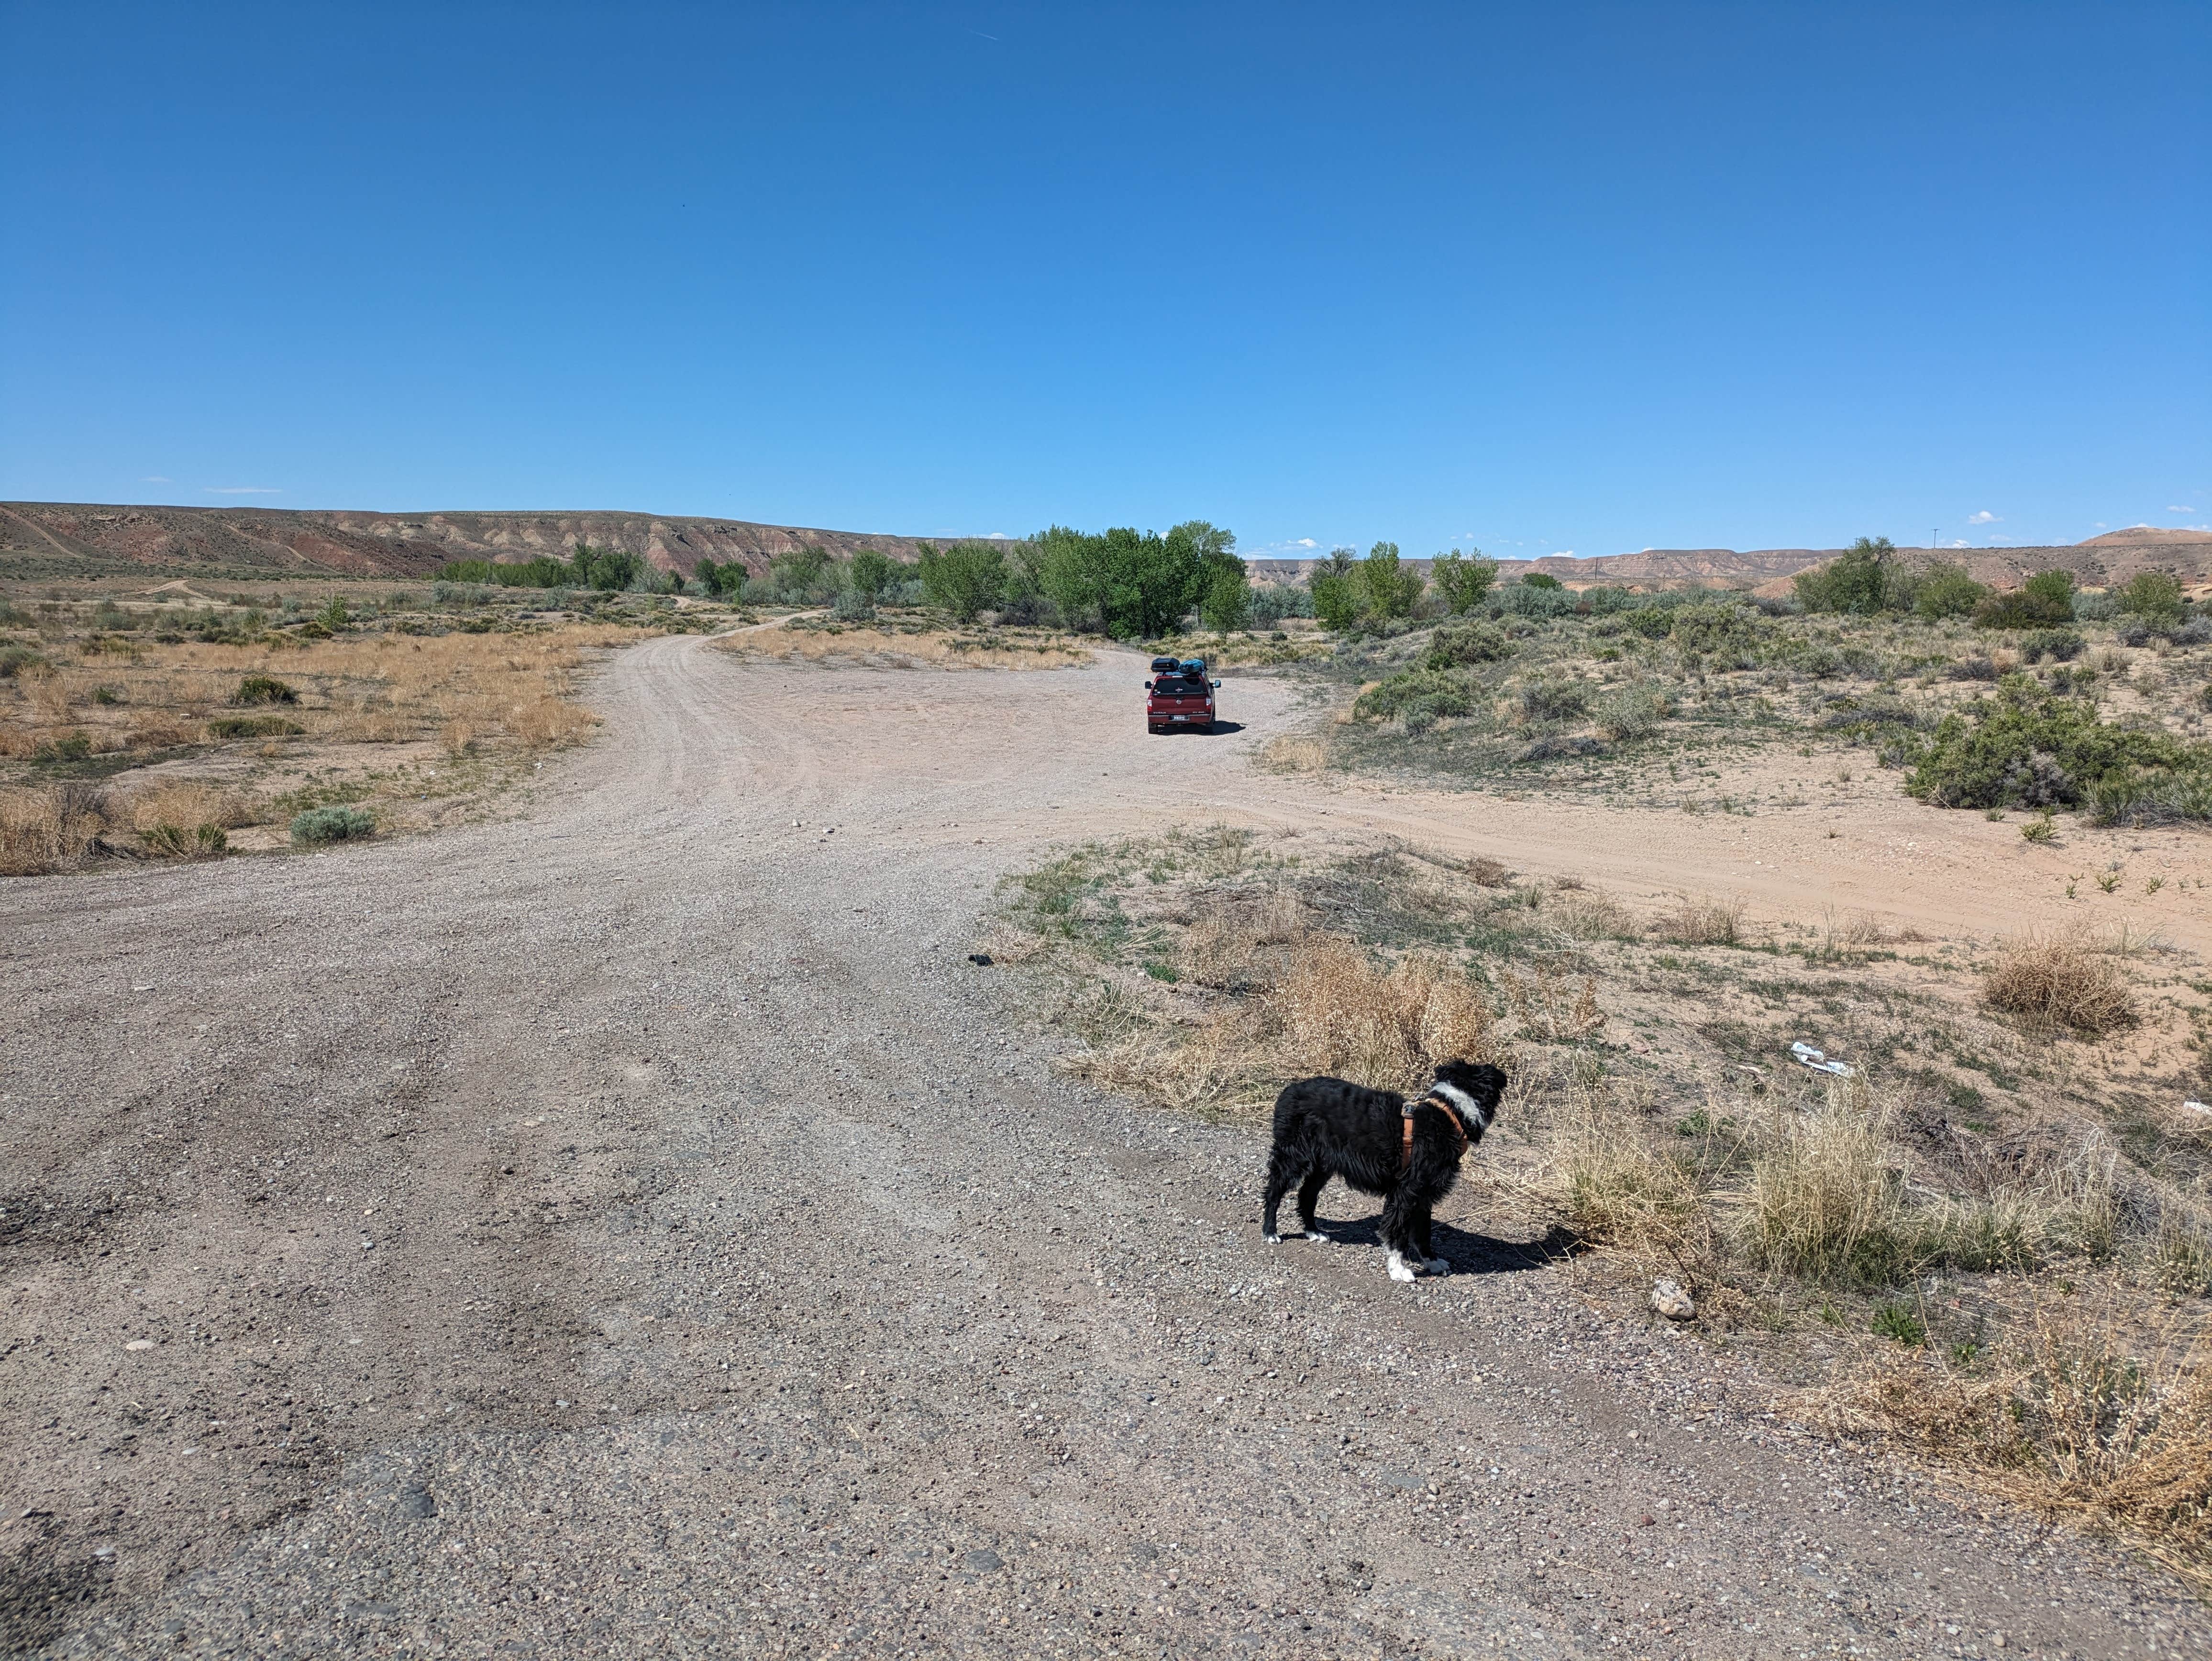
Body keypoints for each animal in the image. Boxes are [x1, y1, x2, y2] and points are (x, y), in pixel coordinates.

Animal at [1265, 1066, 1504, 1283]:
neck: (1451, 1115)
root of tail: (1290, 1089)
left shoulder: (1424, 1196)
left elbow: (1423, 1232)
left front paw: (1432, 1261)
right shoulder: (1405, 1193)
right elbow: (1397, 1233)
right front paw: (1399, 1269)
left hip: (1323, 1165)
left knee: (1307, 1195)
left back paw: (1313, 1231)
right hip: (1293, 1157)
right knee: (1274, 1191)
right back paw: (1270, 1232)